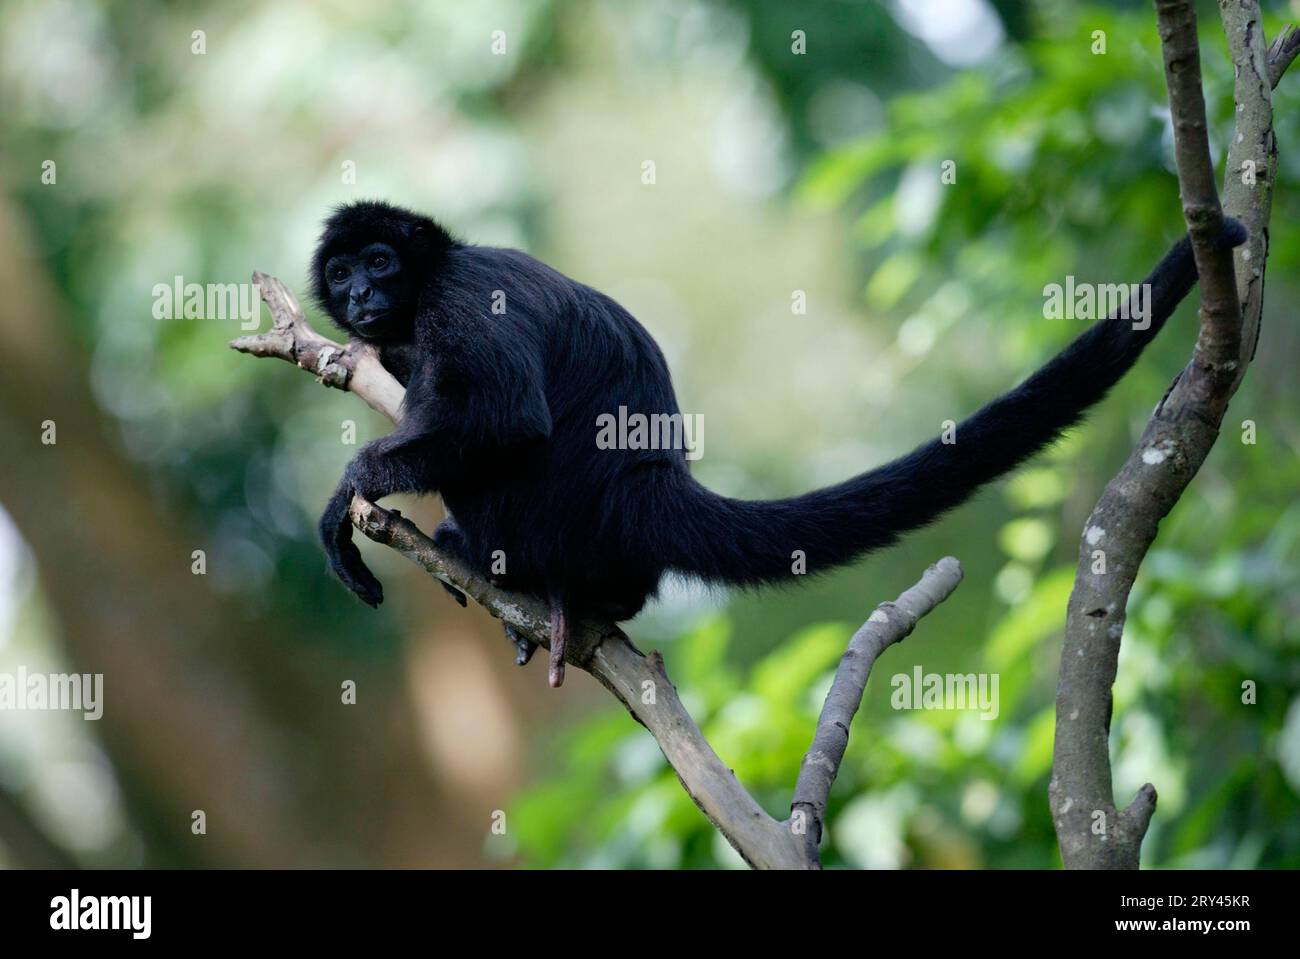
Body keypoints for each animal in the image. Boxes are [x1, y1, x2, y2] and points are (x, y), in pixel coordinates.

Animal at [310, 199, 1246, 687]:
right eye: (343, 273)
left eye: (381, 262)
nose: (358, 296)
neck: (430, 278)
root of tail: (650, 483)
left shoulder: (464, 294)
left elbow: (507, 419)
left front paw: (350, 491)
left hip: (537, 512)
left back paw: (499, 562)